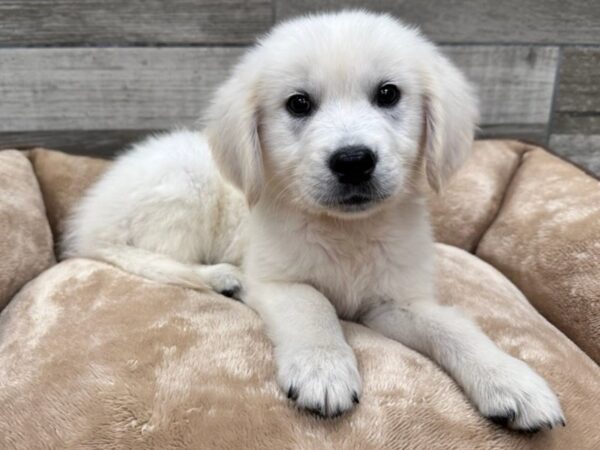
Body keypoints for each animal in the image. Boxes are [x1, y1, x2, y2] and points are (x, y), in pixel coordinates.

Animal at [63, 10, 564, 430]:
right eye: (299, 104)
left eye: (388, 94)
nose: (354, 161)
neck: (347, 231)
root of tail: (89, 217)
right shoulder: (275, 280)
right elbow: (314, 304)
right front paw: (323, 370)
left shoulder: (393, 301)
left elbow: (453, 327)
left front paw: (510, 379)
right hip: (183, 190)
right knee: (147, 255)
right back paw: (220, 278)